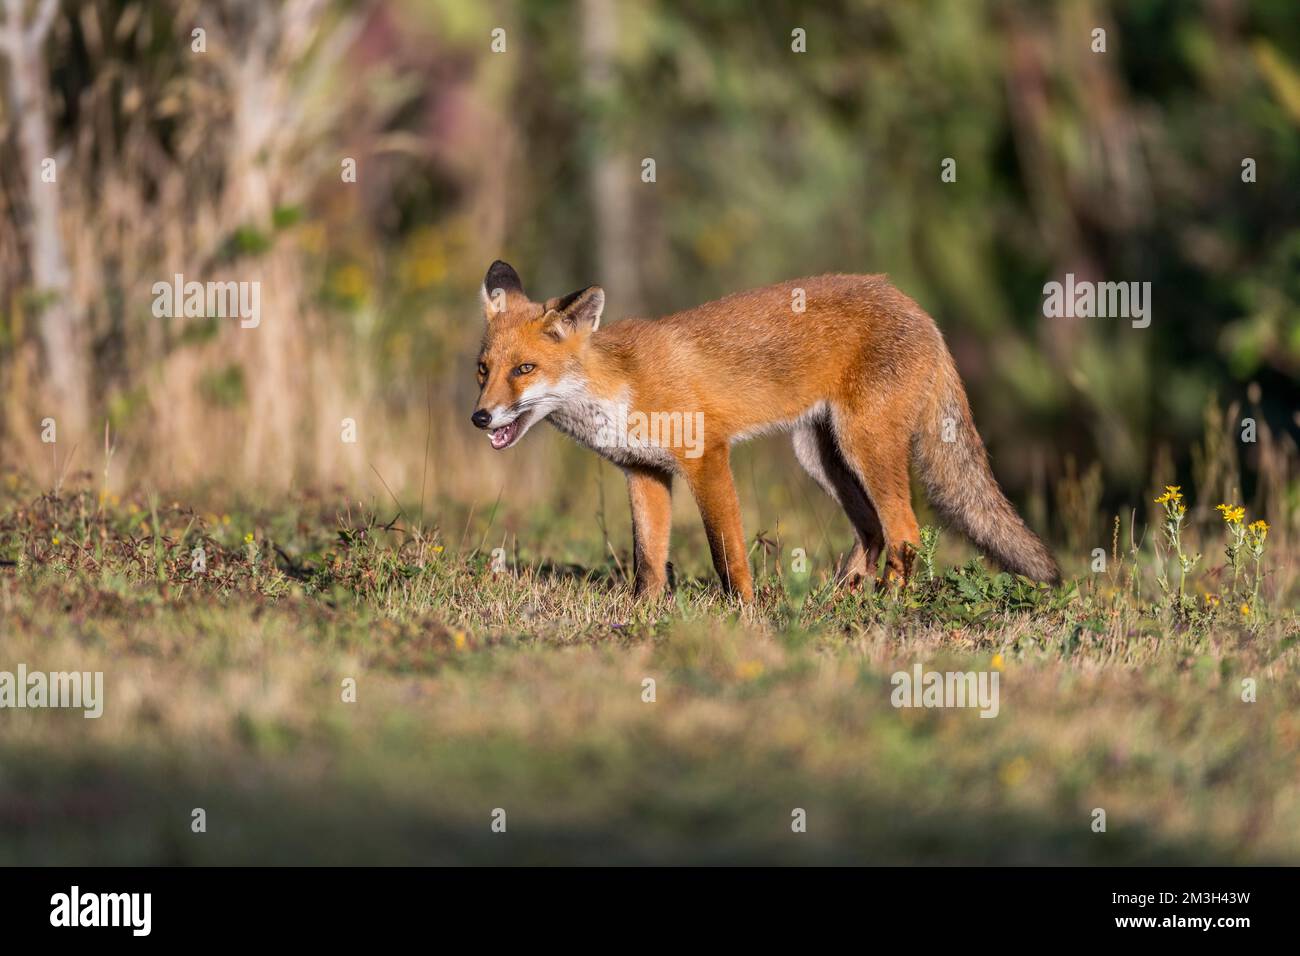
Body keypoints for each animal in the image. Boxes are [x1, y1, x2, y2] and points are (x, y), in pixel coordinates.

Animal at [471, 260, 1059, 602]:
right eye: (483, 370)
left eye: (524, 369)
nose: (480, 418)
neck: (618, 387)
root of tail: (916, 306)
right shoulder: (643, 473)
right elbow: (648, 561)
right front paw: (644, 615)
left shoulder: (707, 456)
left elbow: (726, 553)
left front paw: (744, 613)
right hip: (820, 457)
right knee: (872, 532)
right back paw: (842, 601)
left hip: (863, 447)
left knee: (905, 533)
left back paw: (888, 606)